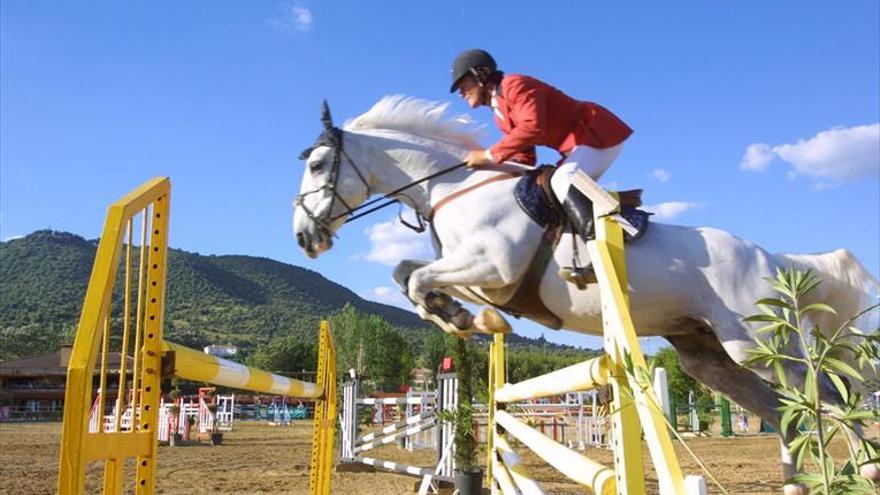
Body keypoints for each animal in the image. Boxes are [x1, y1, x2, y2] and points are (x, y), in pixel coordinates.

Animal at [298, 96, 880, 492]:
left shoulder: (493, 265)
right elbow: (407, 273)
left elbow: (418, 279)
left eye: (318, 165)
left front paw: (466, 320)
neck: (451, 189)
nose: (305, 237)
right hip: (709, 356)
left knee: (834, 399)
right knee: (783, 409)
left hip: (758, 344)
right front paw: (465, 319)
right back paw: (797, 483)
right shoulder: (478, 274)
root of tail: (773, 259)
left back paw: (865, 467)